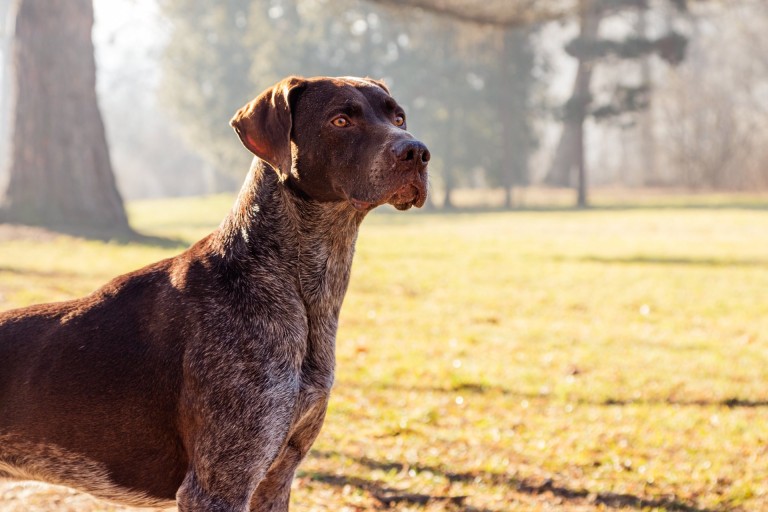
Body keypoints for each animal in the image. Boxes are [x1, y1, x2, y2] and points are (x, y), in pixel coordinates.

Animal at [0, 77, 428, 512]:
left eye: (398, 117)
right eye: (341, 120)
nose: (417, 152)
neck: (298, 289)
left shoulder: (275, 480)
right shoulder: (218, 486)